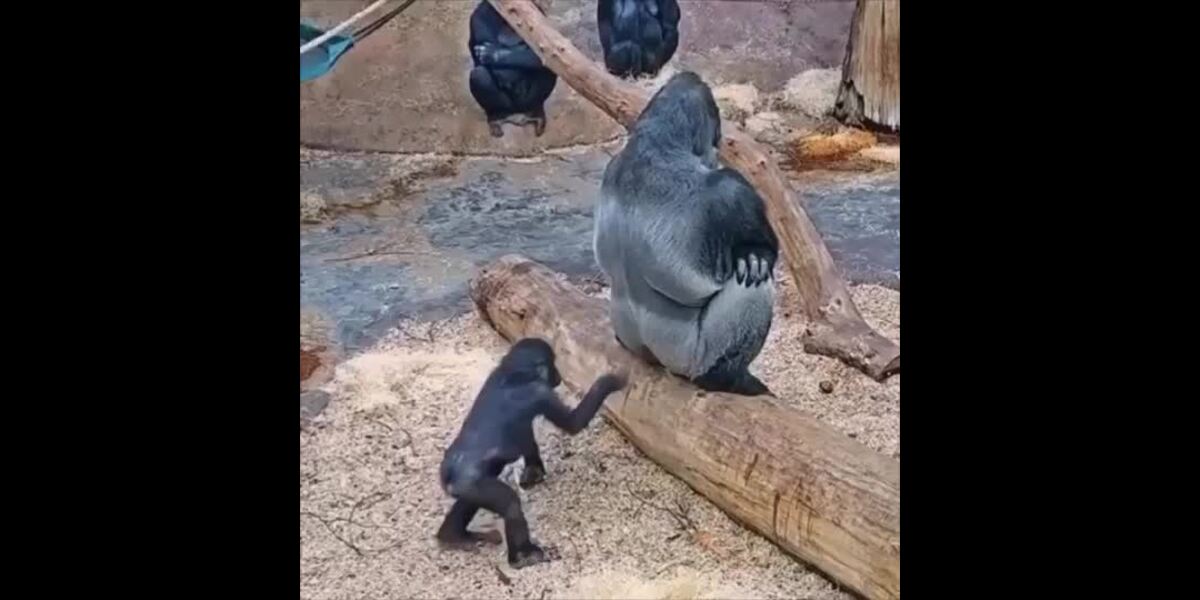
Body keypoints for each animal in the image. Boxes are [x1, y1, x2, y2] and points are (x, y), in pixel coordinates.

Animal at [436, 338, 626, 568]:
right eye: (552, 364)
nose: (558, 375)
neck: (515, 373)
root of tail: (448, 476)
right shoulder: (540, 393)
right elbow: (573, 422)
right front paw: (609, 382)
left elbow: (527, 441)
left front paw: (533, 472)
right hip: (470, 484)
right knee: (509, 504)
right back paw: (522, 556)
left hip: (464, 488)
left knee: (469, 501)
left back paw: (453, 536)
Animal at [467, 0, 558, 138]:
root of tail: (517, 116)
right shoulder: (479, 17)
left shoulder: (537, 14)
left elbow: (543, 51)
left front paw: (495, 54)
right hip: (509, 106)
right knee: (479, 75)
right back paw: (497, 116)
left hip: (526, 103)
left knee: (550, 69)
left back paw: (536, 112)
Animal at [593, 71, 779, 396]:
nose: (716, 151)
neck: (656, 145)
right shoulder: (730, 189)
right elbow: (762, 252)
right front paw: (757, 254)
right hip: (689, 359)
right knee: (755, 282)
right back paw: (727, 378)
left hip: (631, 341)